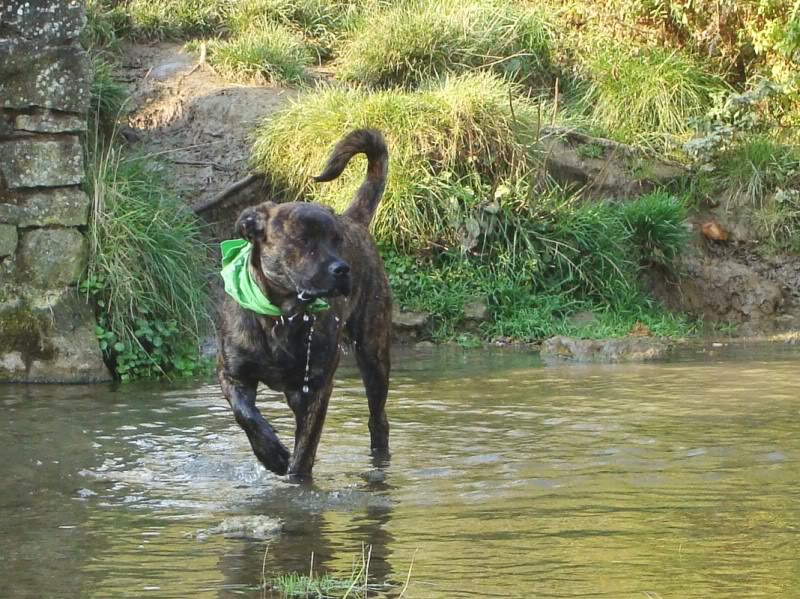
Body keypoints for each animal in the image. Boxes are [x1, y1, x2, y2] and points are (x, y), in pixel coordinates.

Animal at [217, 130, 392, 478]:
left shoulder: (316, 387)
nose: (342, 269)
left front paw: (295, 476)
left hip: (374, 354)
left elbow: (305, 448)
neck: (280, 315)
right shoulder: (232, 375)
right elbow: (246, 416)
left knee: (378, 421)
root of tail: (353, 219)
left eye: (337, 241)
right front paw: (271, 453)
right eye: (302, 240)